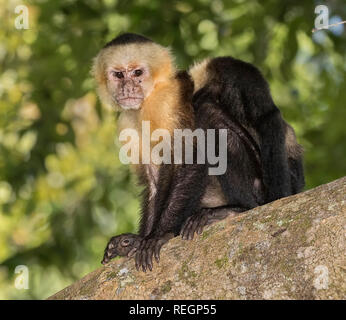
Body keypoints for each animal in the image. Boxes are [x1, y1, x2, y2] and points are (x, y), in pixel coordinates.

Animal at [91, 33, 302, 272]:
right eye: (118, 75)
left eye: (137, 73)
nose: (128, 89)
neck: (150, 97)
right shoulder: (127, 120)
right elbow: (153, 180)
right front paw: (138, 240)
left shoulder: (165, 103)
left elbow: (190, 158)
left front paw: (159, 234)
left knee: (211, 115)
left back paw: (239, 209)